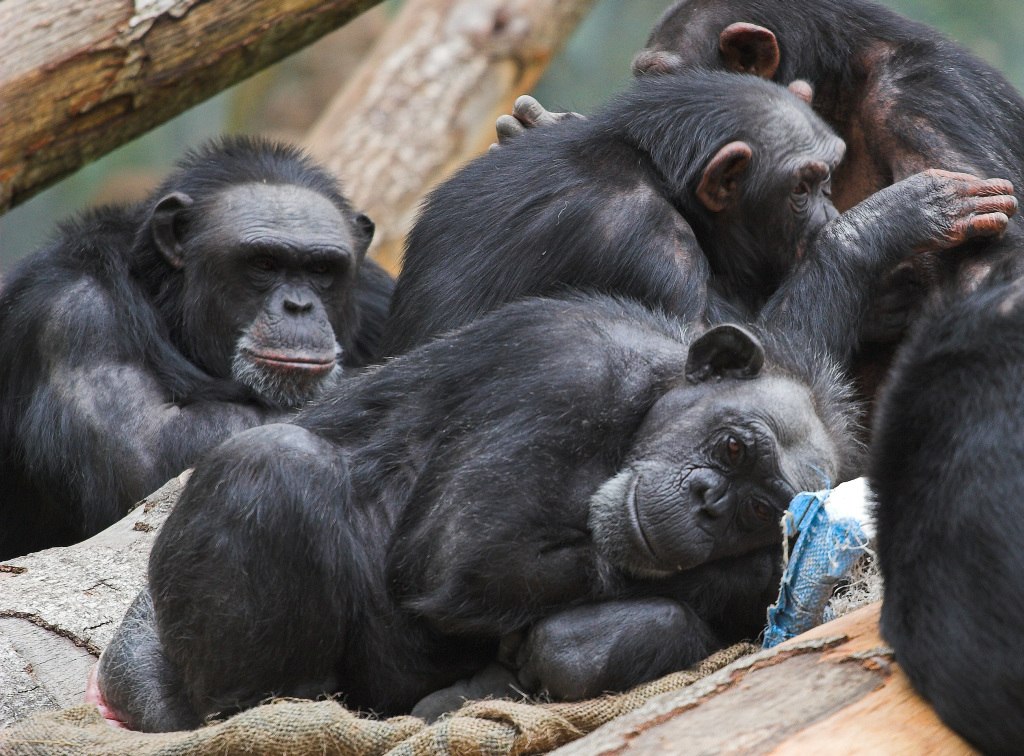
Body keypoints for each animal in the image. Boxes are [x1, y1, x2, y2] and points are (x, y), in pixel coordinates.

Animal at [0, 135, 391, 561]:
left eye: (322, 269)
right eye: (264, 263)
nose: (299, 307)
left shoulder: (374, 293)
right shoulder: (75, 317)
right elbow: (151, 451)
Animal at [94, 290, 864, 729]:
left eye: (758, 509)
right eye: (733, 447)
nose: (708, 504)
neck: (647, 393)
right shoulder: (565, 373)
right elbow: (469, 558)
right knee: (272, 465)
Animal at [378, 71, 1015, 362]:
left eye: (828, 178)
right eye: (803, 187)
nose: (826, 213)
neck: (659, 175)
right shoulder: (650, 250)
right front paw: (894, 219)